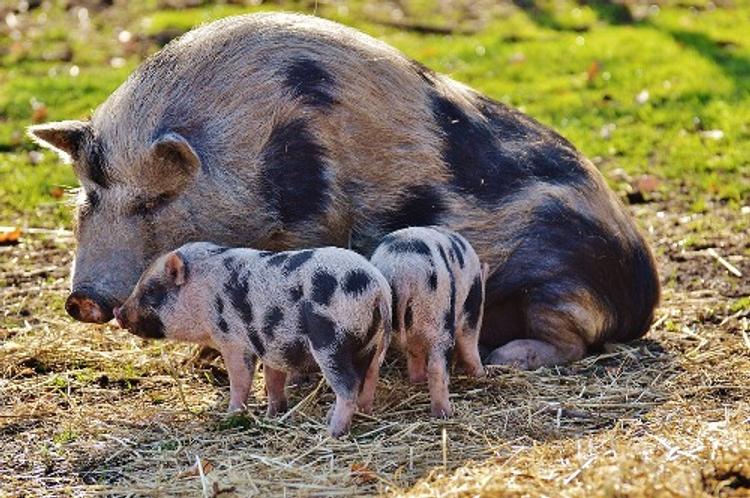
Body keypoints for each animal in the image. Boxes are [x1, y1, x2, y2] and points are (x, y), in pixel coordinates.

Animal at [26, 12, 660, 370]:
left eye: (154, 201)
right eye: (88, 198)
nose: (82, 300)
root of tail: (646, 296)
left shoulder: (313, 223)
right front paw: (208, 356)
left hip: (563, 286)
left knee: (574, 339)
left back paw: (508, 359)